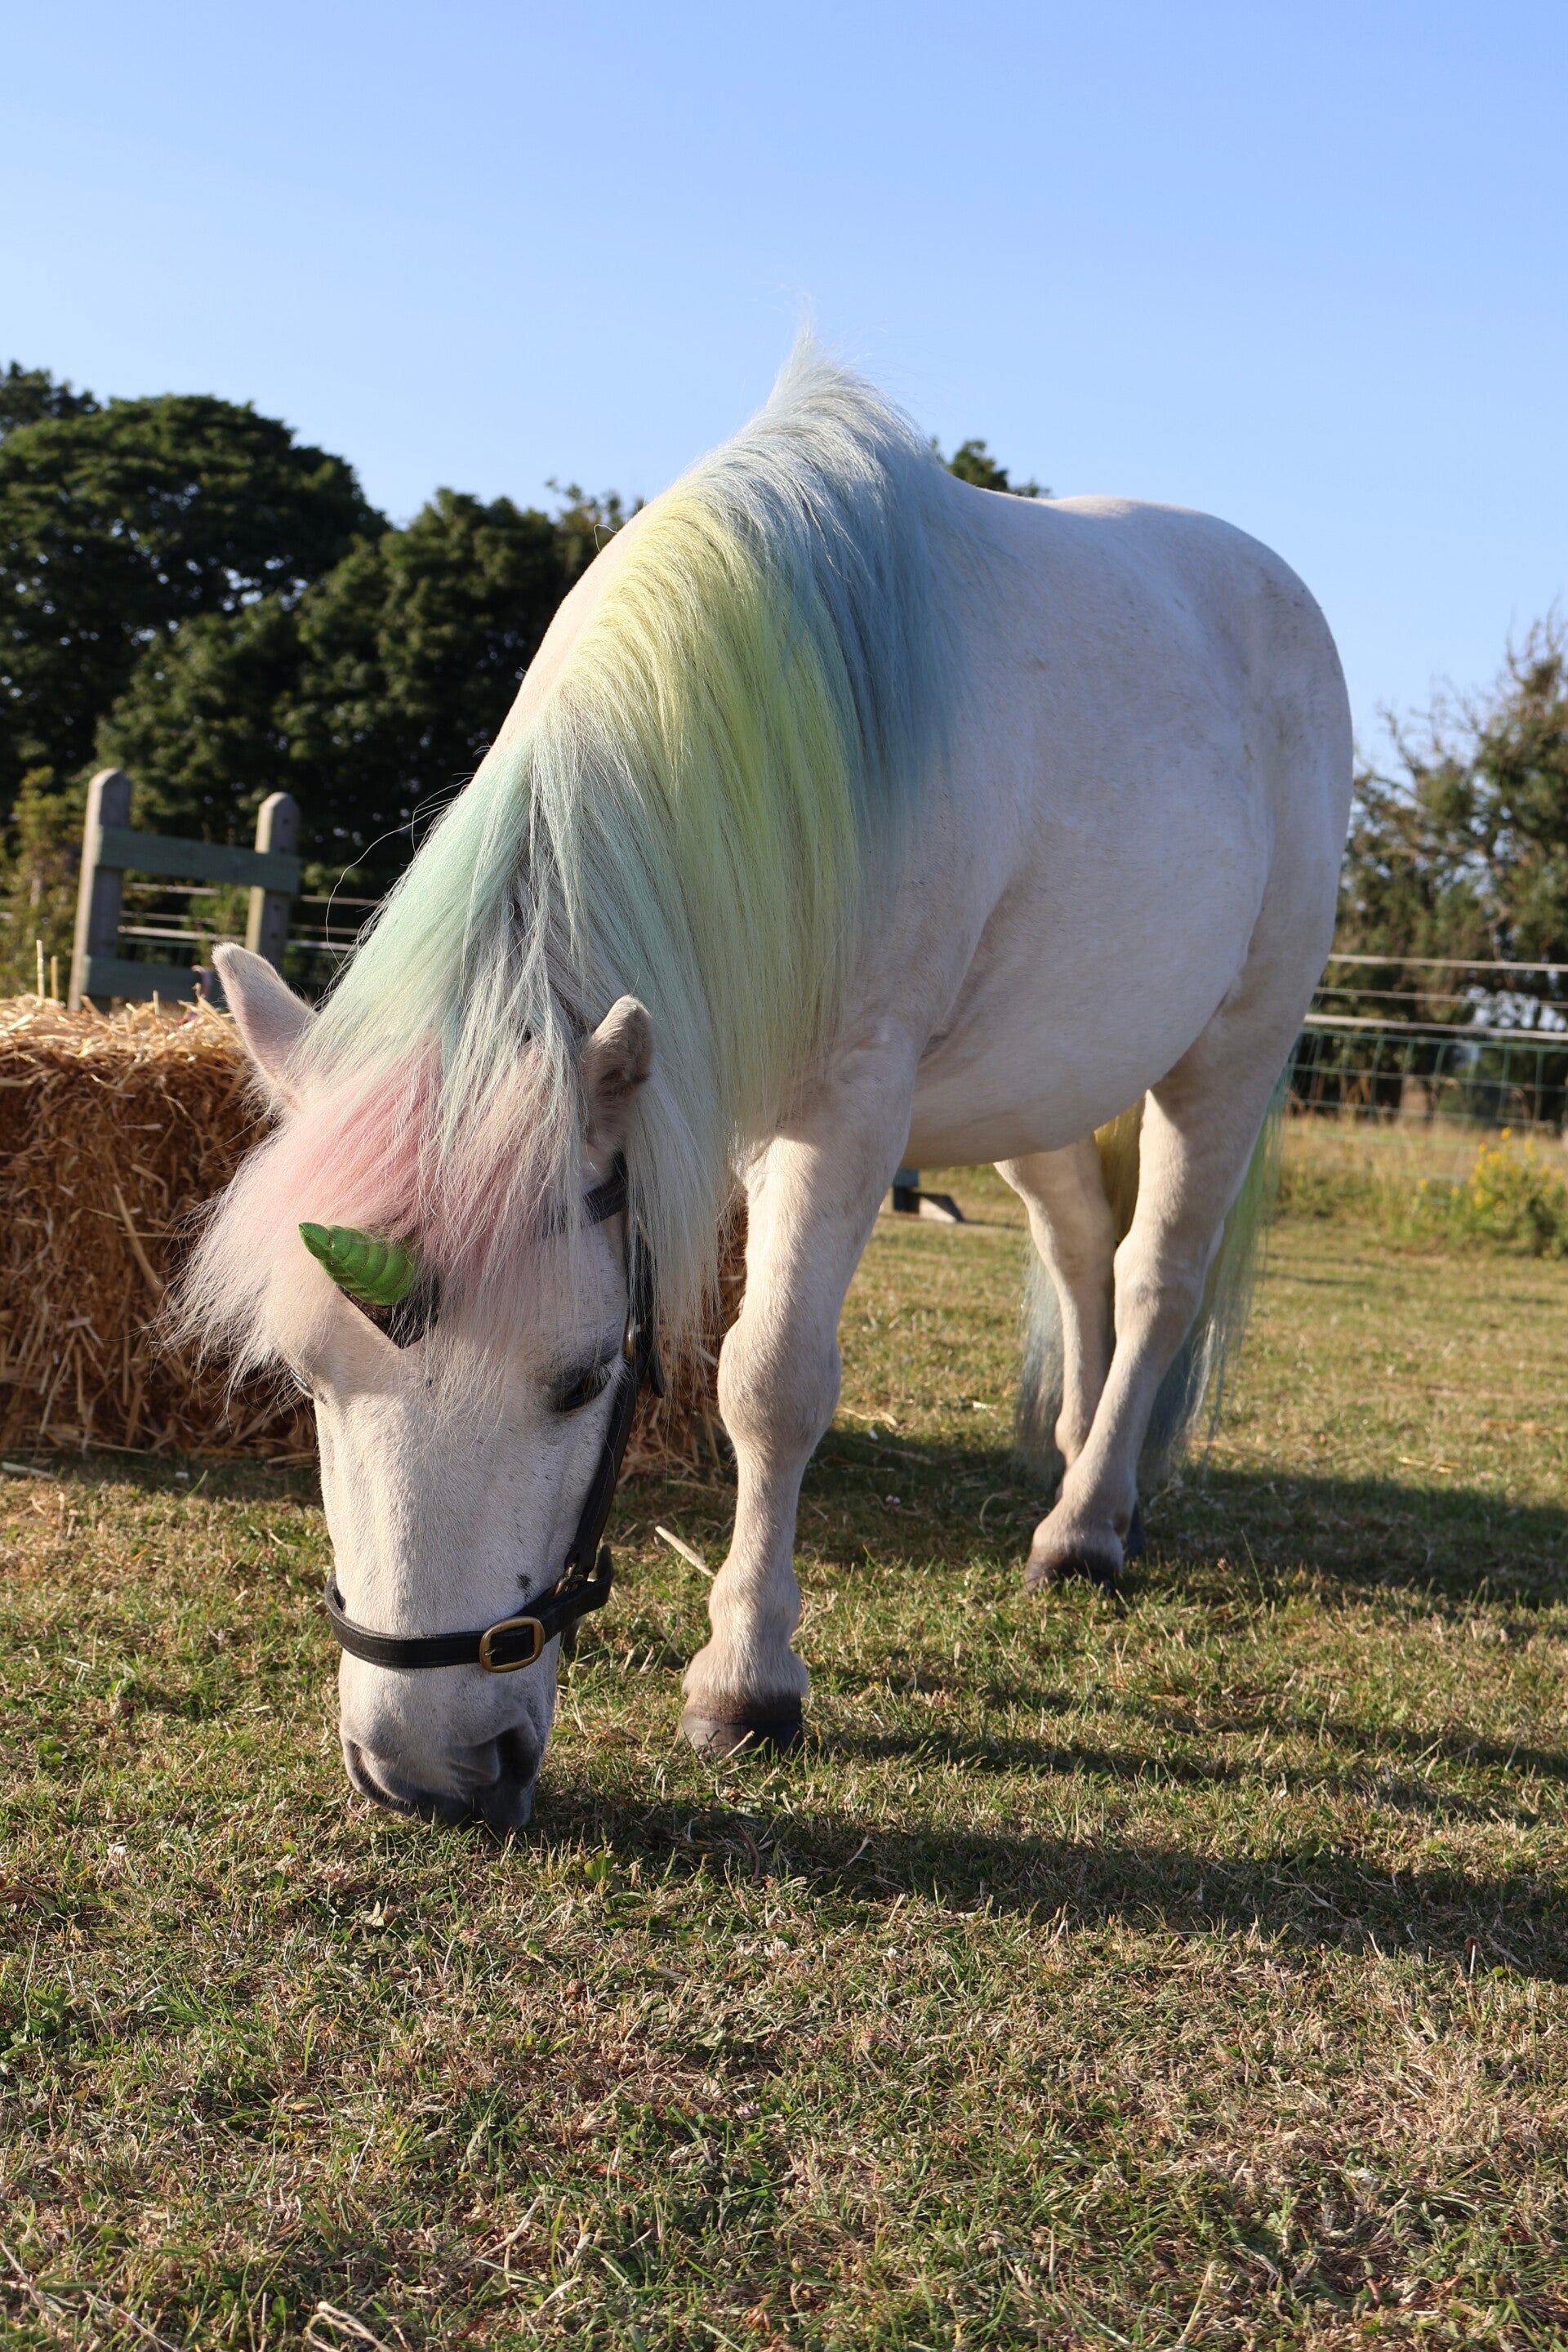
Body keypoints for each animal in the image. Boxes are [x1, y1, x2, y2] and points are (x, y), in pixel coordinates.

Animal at [184, 343, 1351, 1831]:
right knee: (1081, 1248)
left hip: (1232, 1049)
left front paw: (747, 1680)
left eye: (582, 1381)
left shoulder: (847, 1111)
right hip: (1038, 1083)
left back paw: (1088, 1528)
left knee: (1156, 1275)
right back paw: (1093, 1469)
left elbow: (769, 1379)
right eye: (308, 1375)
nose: (423, 1773)